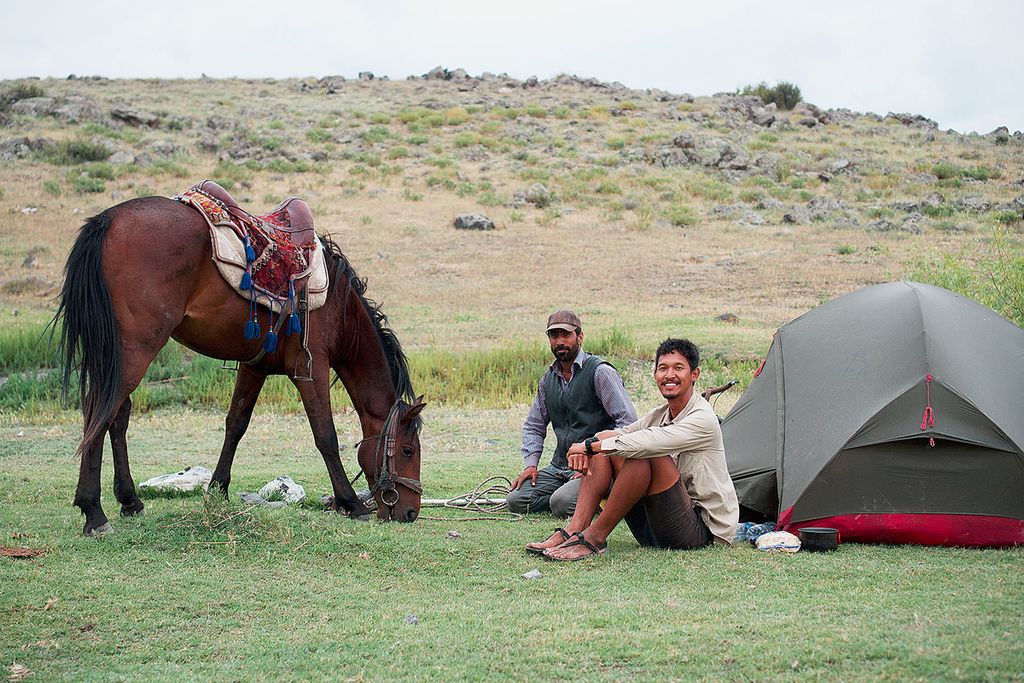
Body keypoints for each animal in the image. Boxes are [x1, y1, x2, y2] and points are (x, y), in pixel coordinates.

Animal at [55, 194, 423, 536]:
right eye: (407, 450)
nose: (410, 512)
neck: (340, 309)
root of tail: (108, 220)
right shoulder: (311, 368)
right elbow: (326, 436)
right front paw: (350, 502)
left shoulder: (254, 367)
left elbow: (236, 424)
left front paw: (218, 488)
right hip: (136, 350)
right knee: (99, 413)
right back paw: (94, 512)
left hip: (119, 354)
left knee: (116, 417)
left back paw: (130, 500)